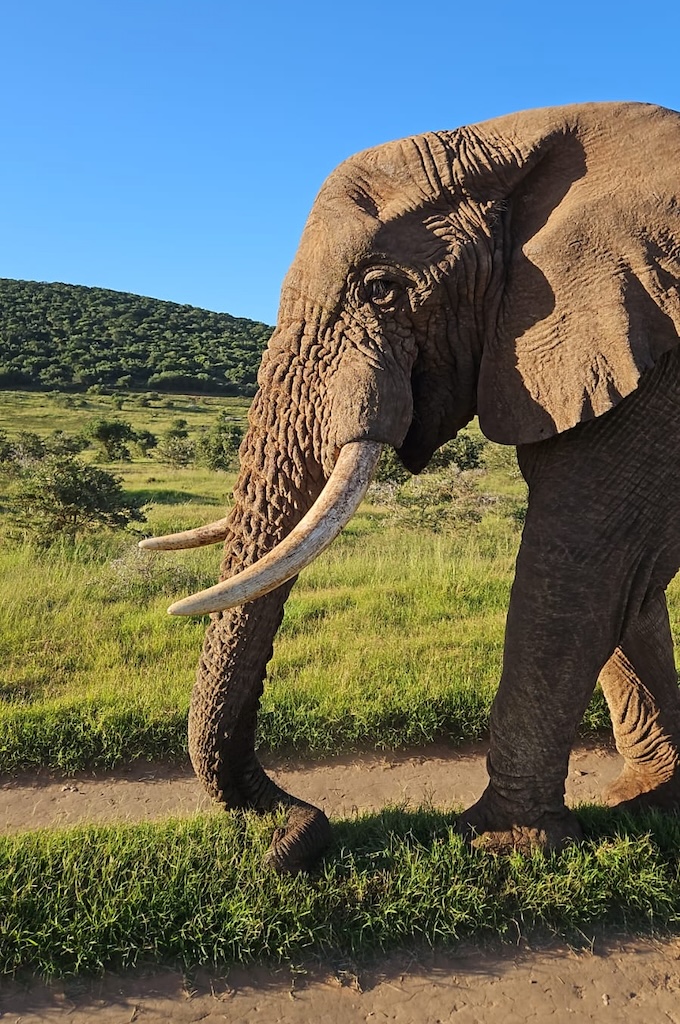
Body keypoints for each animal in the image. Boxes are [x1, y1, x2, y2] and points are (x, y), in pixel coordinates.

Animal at [141, 101, 680, 872]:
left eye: (381, 289)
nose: (295, 836)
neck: (525, 138)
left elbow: (586, 560)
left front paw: (499, 847)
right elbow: (631, 580)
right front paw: (647, 801)